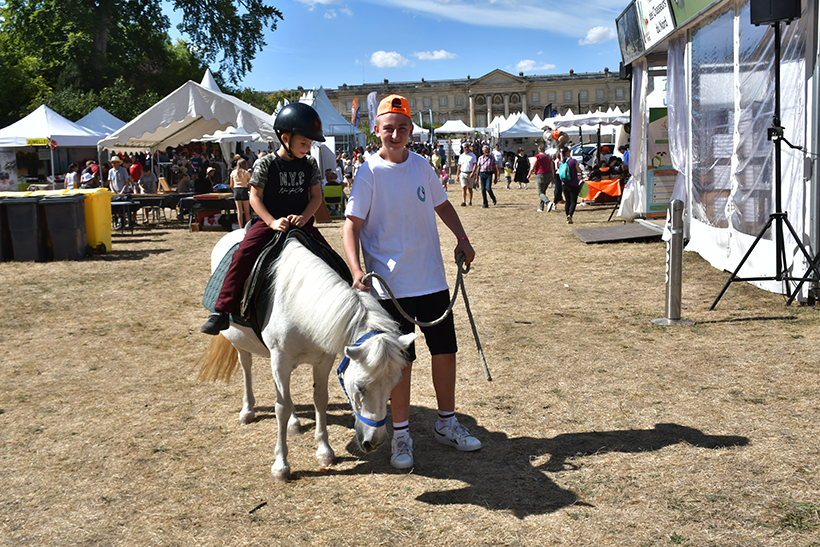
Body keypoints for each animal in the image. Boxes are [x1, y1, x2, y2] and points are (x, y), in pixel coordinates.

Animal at [199, 231, 416, 484]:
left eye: (395, 384)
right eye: (360, 387)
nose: (376, 441)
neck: (296, 299)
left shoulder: (322, 361)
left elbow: (319, 400)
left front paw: (324, 452)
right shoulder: (280, 360)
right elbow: (280, 409)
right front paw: (281, 466)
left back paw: (294, 422)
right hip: (242, 343)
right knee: (247, 367)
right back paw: (248, 411)